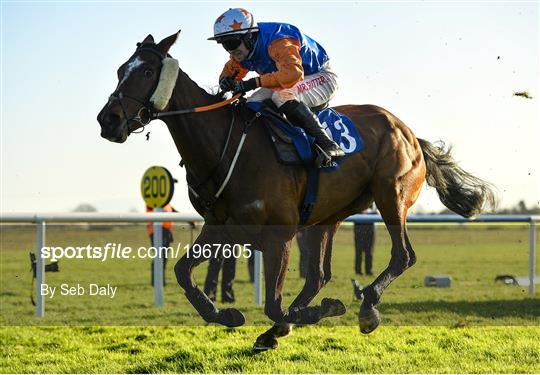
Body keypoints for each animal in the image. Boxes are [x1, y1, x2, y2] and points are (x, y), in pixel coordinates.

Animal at [98, 32, 498, 352]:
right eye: (119, 70)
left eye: (146, 72)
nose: (108, 120)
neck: (226, 145)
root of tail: (409, 132)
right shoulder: (222, 226)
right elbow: (184, 272)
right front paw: (228, 314)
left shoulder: (280, 234)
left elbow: (274, 302)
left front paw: (314, 312)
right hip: (328, 216)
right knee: (319, 274)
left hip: (390, 194)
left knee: (402, 256)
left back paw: (366, 307)